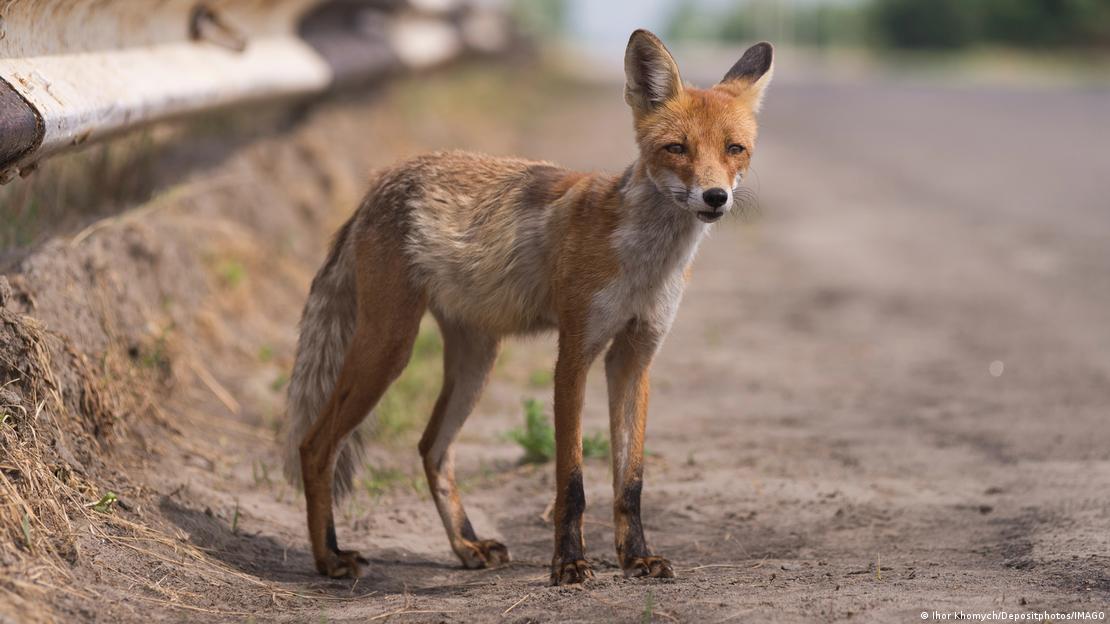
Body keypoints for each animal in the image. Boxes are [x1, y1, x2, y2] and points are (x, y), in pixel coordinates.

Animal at [283, 30, 773, 585]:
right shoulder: (575, 353)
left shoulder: (635, 356)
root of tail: (381, 178)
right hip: (388, 348)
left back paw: (466, 545)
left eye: (735, 149)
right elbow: (572, 481)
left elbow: (630, 483)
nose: (714, 197)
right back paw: (329, 556)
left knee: (432, 448)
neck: (644, 263)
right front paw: (569, 563)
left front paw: (636, 558)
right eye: (676, 148)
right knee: (315, 445)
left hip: (476, 361)